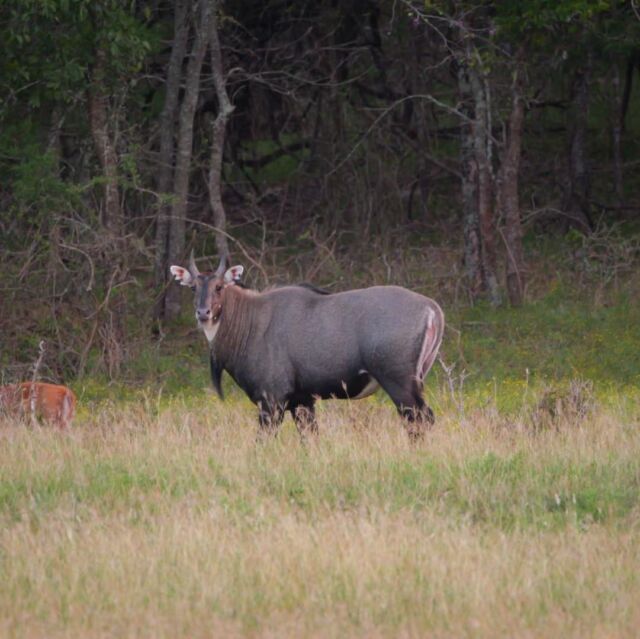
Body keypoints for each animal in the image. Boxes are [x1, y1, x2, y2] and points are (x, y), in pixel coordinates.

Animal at [170, 253, 444, 440]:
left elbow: (263, 441)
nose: (203, 313)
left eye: (219, 286)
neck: (249, 322)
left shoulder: (273, 398)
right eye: (193, 287)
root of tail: (433, 309)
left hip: (399, 382)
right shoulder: (302, 400)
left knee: (420, 420)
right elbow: (310, 438)